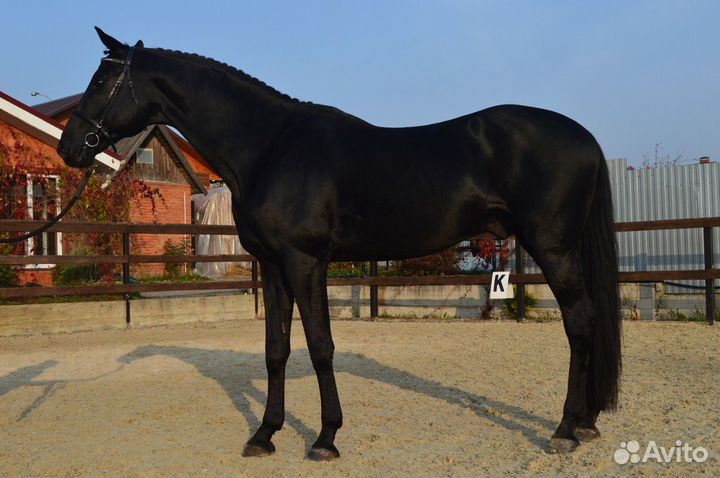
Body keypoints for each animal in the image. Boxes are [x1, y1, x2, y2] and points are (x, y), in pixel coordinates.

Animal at [58, 28, 621, 461]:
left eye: (102, 81)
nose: (69, 147)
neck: (269, 146)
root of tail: (586, 137)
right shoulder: (273, 266)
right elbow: (277, 351)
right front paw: (264, 435)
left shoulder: (305, 262)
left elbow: (321, 347)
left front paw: (325, 438)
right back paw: (587, 421)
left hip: (553, 249)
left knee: (579, 322)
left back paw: (566, 429)